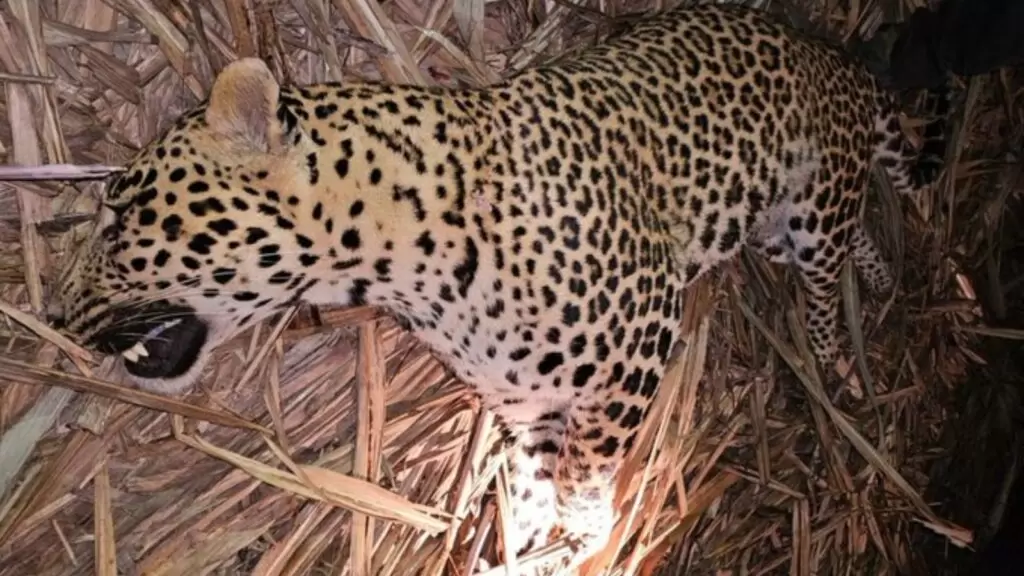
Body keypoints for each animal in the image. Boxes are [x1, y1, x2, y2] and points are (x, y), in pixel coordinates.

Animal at [50, 3, 950, 572]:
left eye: (121, 216)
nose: (57, 313)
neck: (401, 266)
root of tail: (833, 57)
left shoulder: (637, 345)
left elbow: (584, 482)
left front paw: (588, 537)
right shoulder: (523, 401)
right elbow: (528, 484)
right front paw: (527, 543)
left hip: (810, 207)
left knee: (828, 279)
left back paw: (837, 360)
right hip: (770, 223)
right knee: (856, 232)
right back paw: (880, 279)